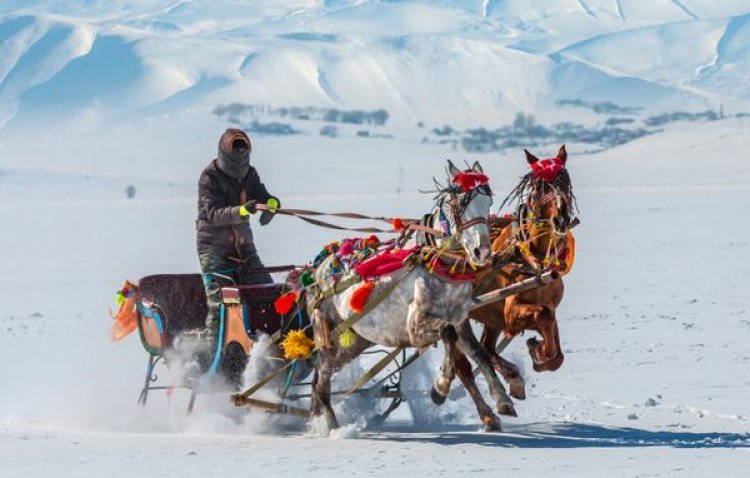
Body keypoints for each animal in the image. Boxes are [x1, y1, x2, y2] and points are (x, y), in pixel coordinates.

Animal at [432, 145, 580, 430]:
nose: (561, 219)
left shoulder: (548, 307)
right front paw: (536, 351)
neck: (534, 260)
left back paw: (513, 380)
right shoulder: (511, 312)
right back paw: (489, 413)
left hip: (489, 319)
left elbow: (557, 354)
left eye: (565, 180)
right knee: (466, 366)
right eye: (539, 186)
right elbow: (541, 318)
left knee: (487, 349)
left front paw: (537, 352)